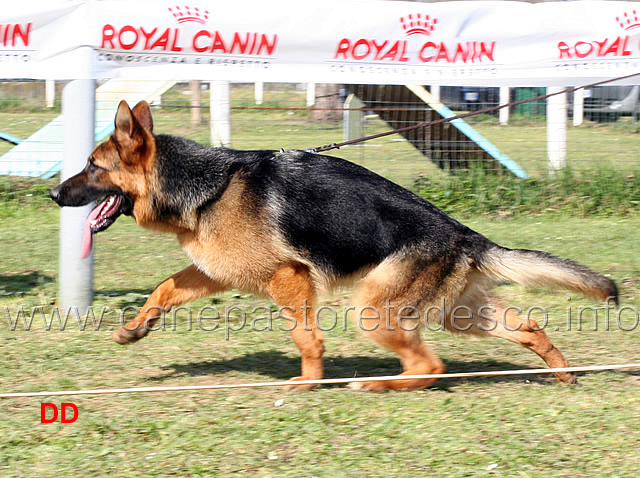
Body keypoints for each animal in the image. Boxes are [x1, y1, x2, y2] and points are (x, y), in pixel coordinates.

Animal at [52, 101, 616, 392]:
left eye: (93, 167)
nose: (54, 194)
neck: (207, 185)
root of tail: (463, 233)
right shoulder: (213, 272)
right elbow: (164, 288)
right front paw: (134, 329)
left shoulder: (289, 279)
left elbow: (306, 340)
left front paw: (306, 383)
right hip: (458, 314)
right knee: (527, 327)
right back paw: (563, 374)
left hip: (373, 310)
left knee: (431, 367)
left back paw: (378, 385)